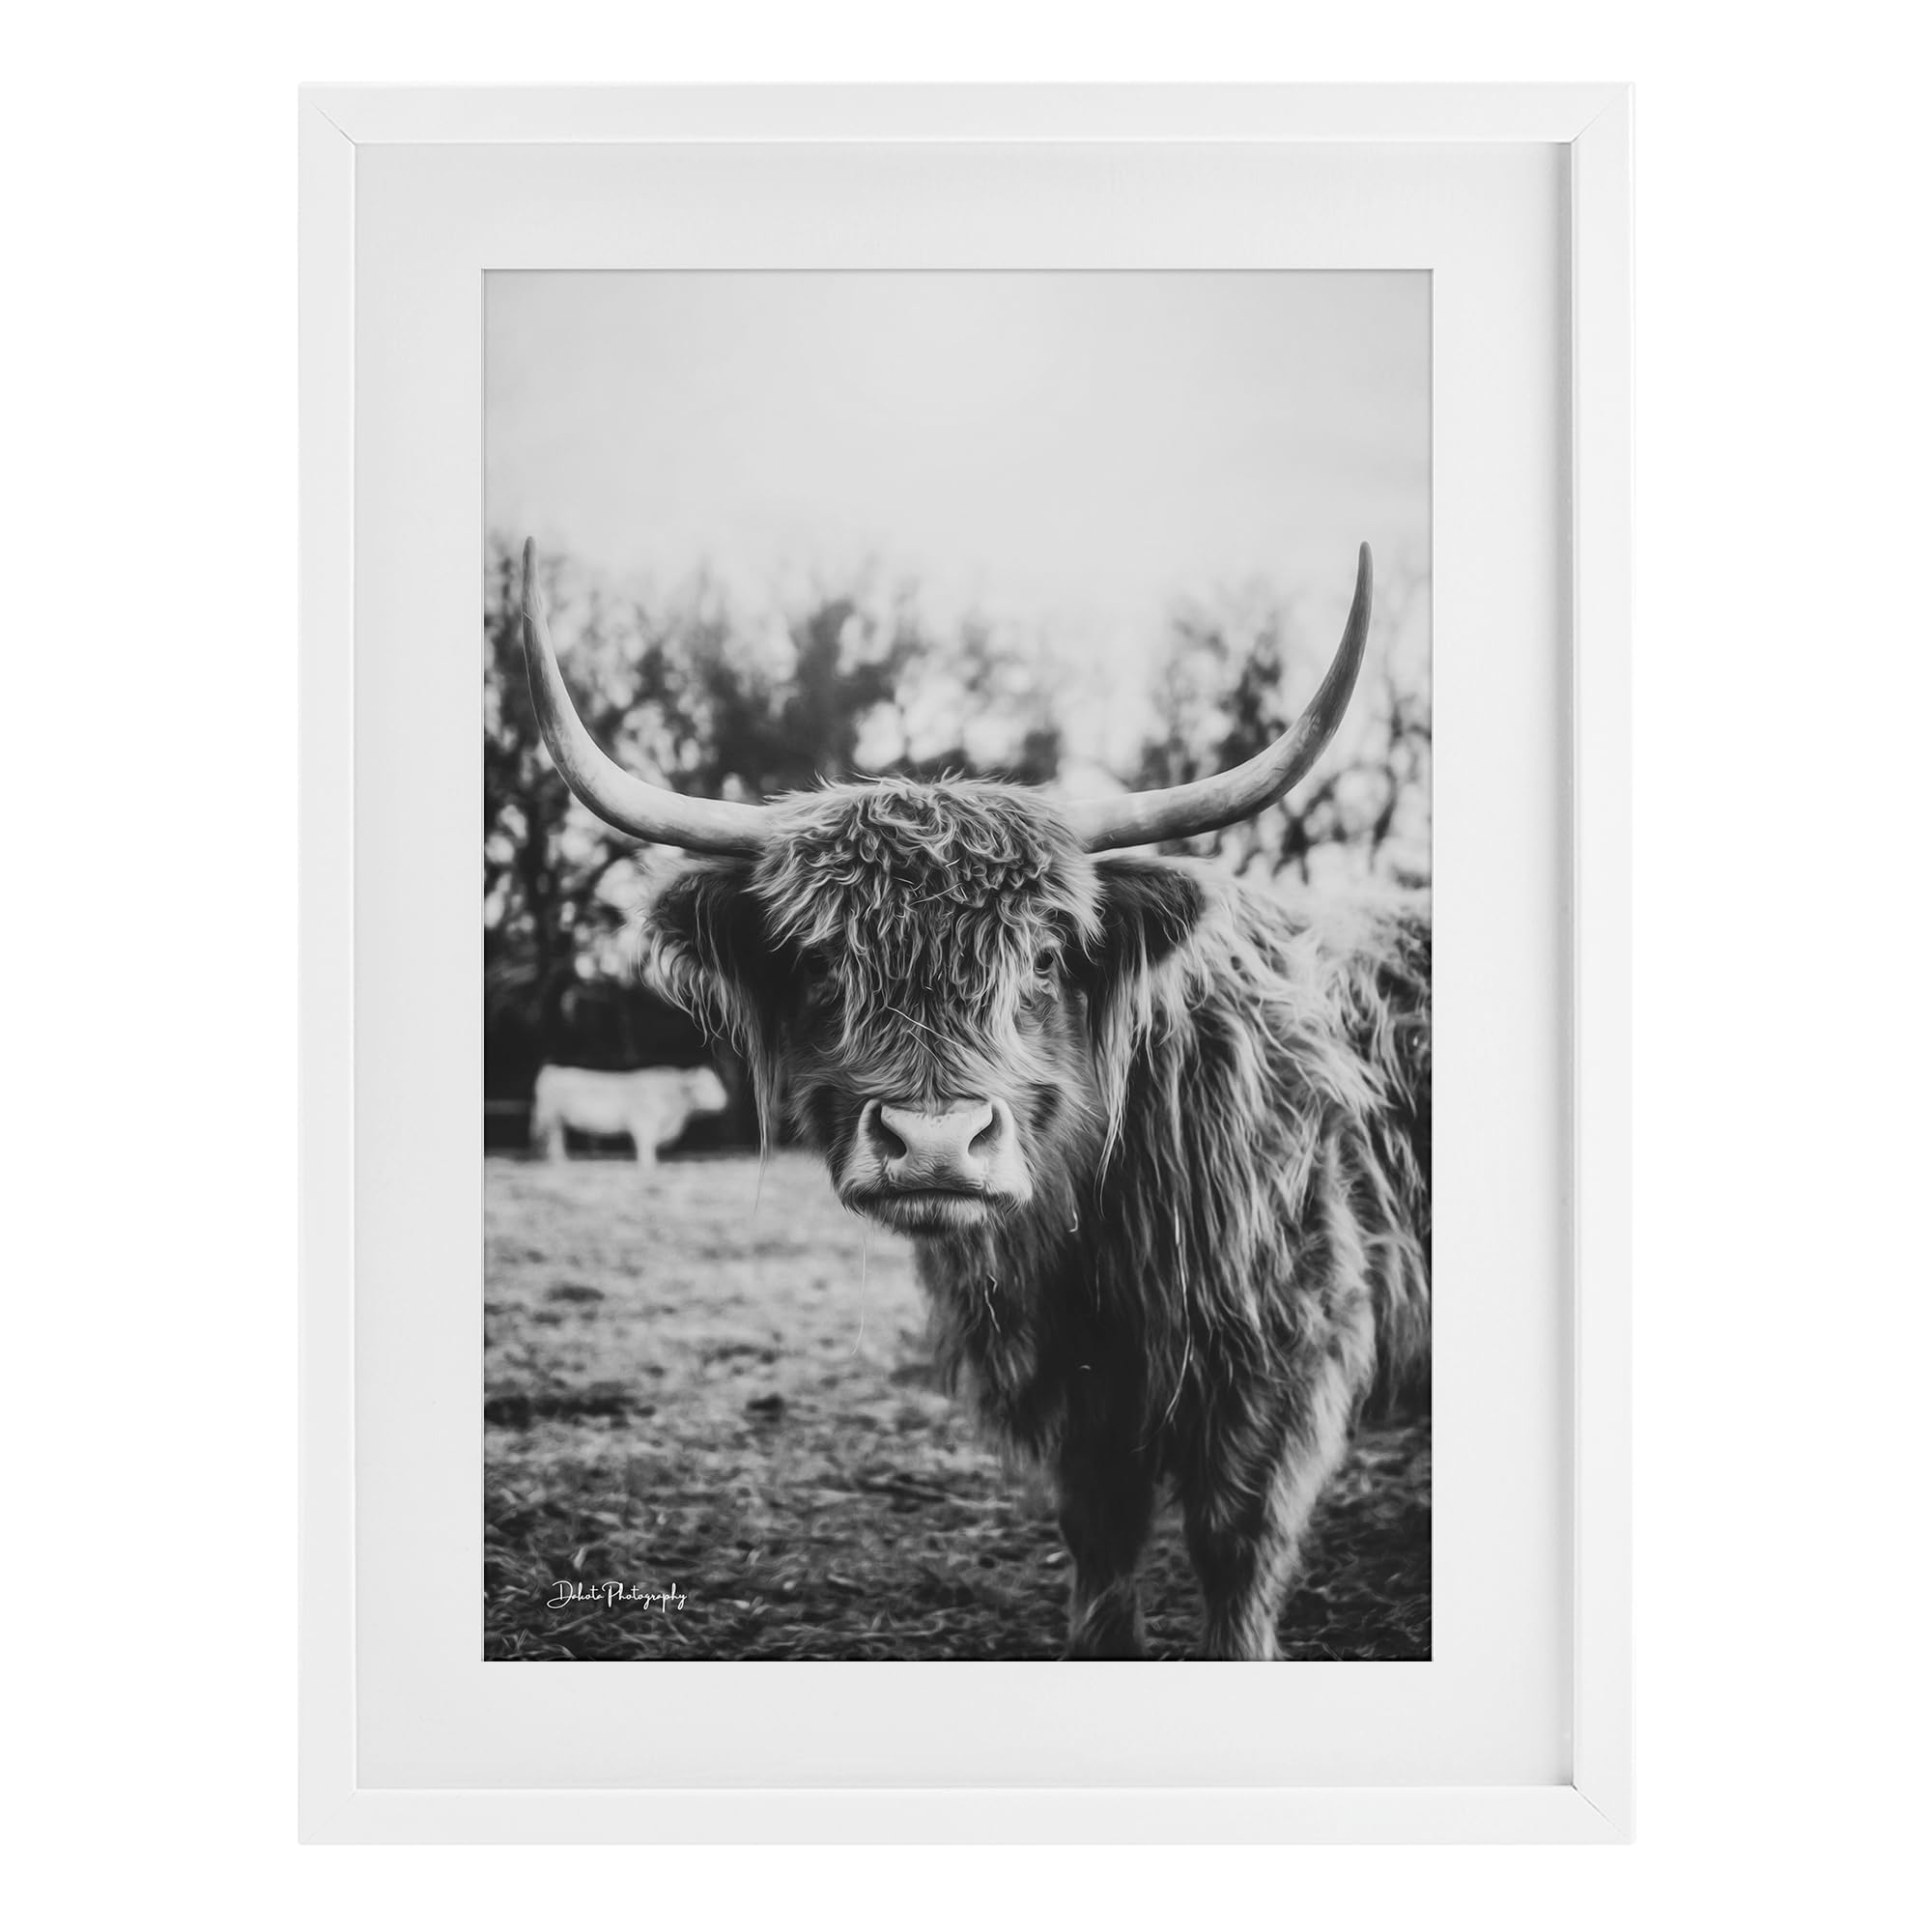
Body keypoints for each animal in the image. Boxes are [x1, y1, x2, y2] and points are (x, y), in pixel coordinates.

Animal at [529, 1063, 728, 1166]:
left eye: (716, 1082)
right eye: (705, 1087)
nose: (725, 1101)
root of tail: (552, 1070)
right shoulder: (644, 1123)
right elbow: (645, 1146)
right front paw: (648, 1165)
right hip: (551, 1118)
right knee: (553, 1140)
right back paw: (559, 1161)